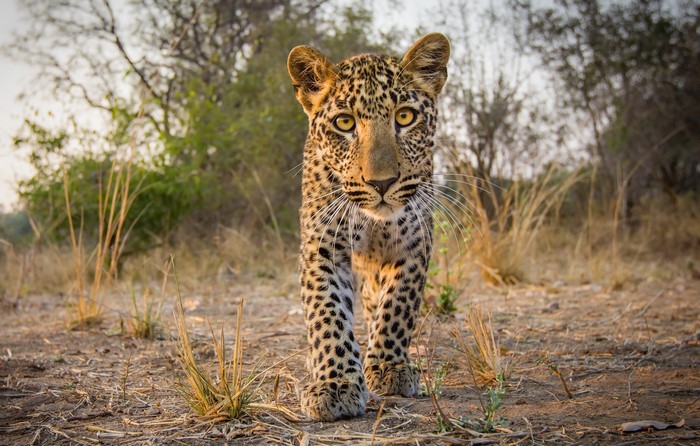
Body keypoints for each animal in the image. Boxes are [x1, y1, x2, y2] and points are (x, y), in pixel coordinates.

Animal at [287, 33, 450, 421]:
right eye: (345, 123)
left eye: (405, 116)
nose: (382, 182)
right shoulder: (323, 248)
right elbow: (327, 314)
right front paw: (334, 384)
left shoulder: (414, 244)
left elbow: (398, 306)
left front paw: (388, 366)